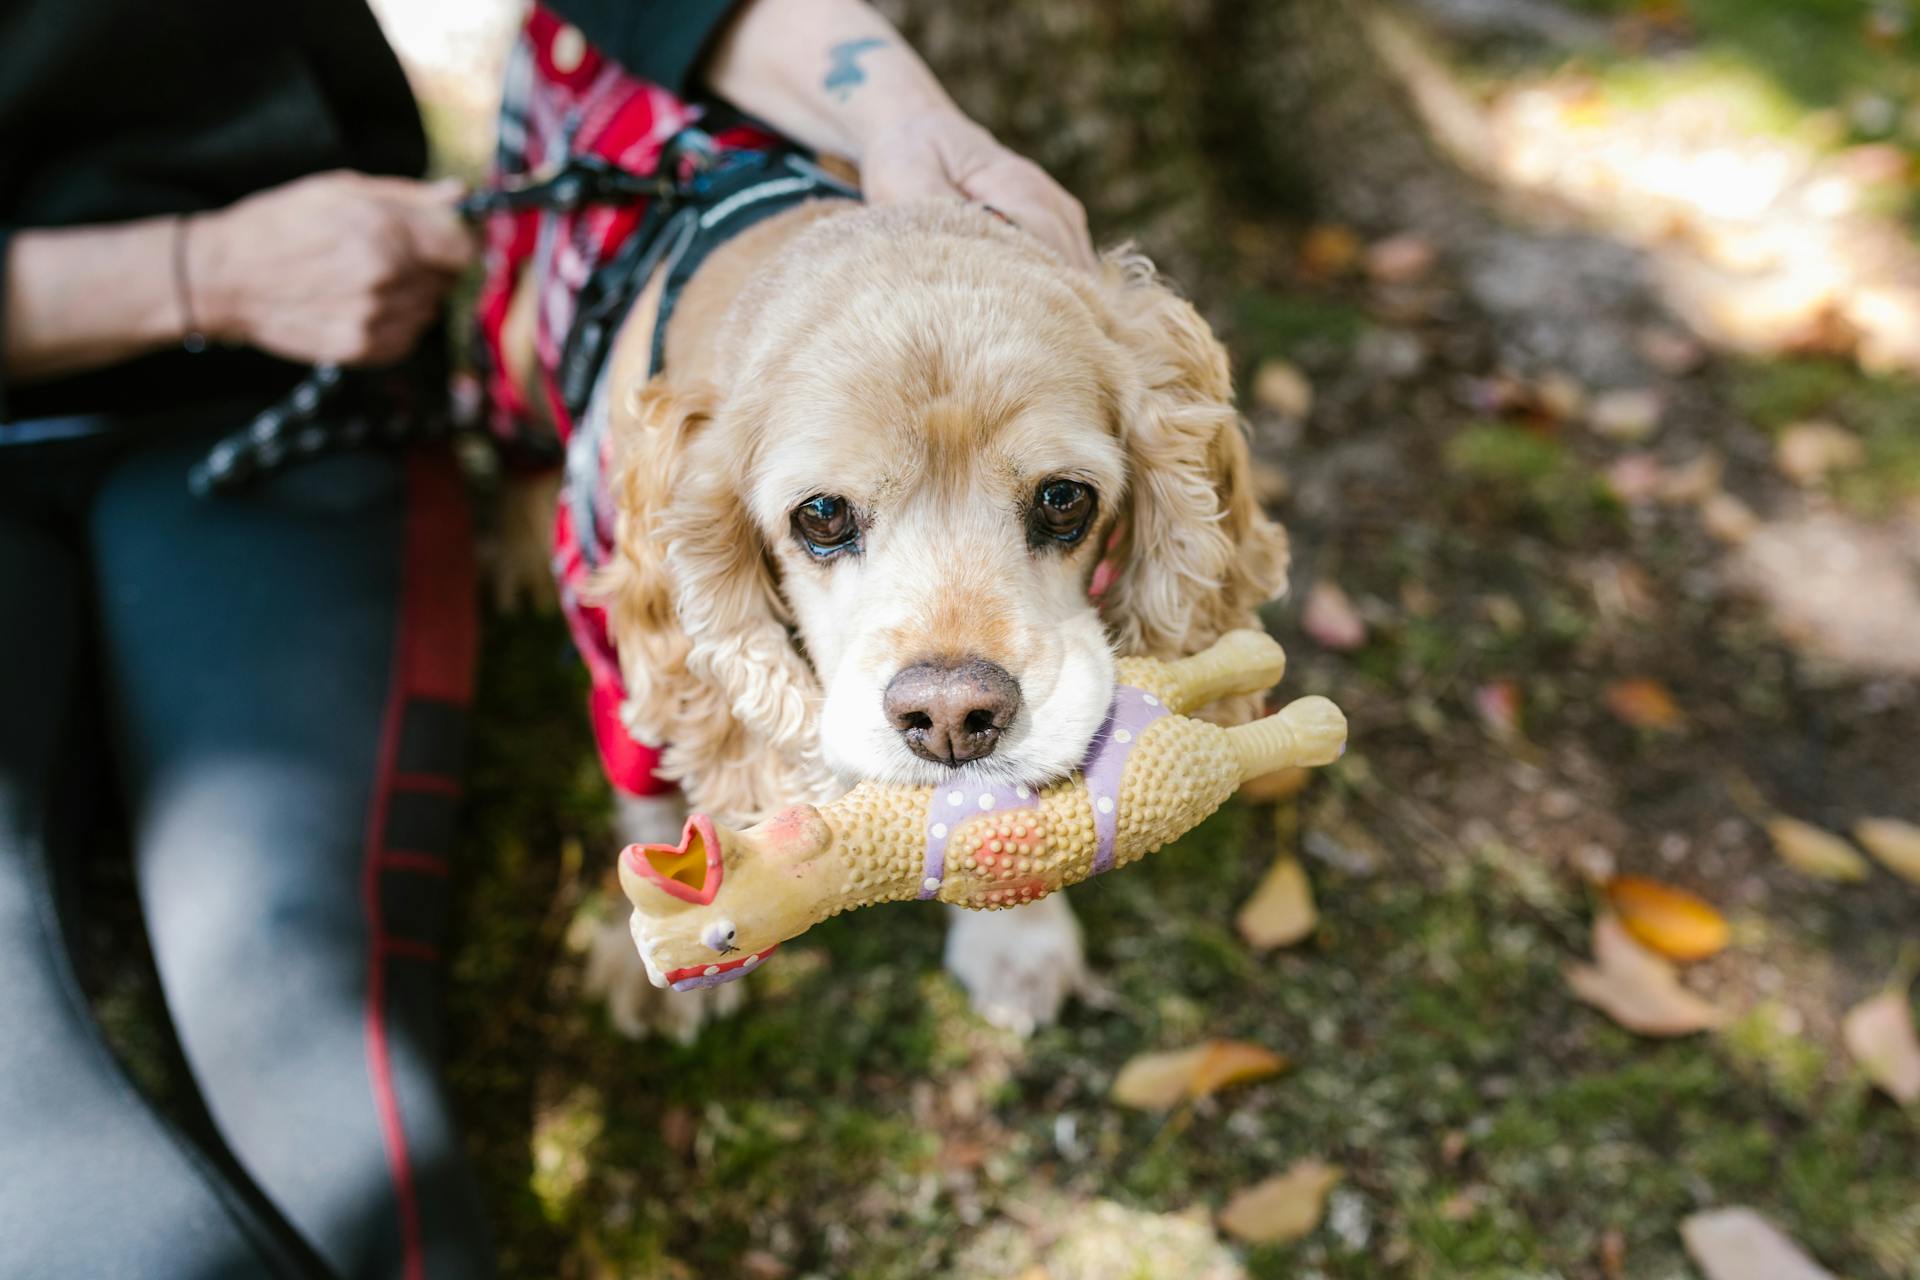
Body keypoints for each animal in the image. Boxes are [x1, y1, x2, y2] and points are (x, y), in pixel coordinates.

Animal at [480, 27, 1290, 1043]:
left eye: (1065, 499)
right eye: (822, 515)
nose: (950, 718)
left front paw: (1018, 943)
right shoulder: (627, 645)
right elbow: (651, 780)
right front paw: (655, 946)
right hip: (517, 327)